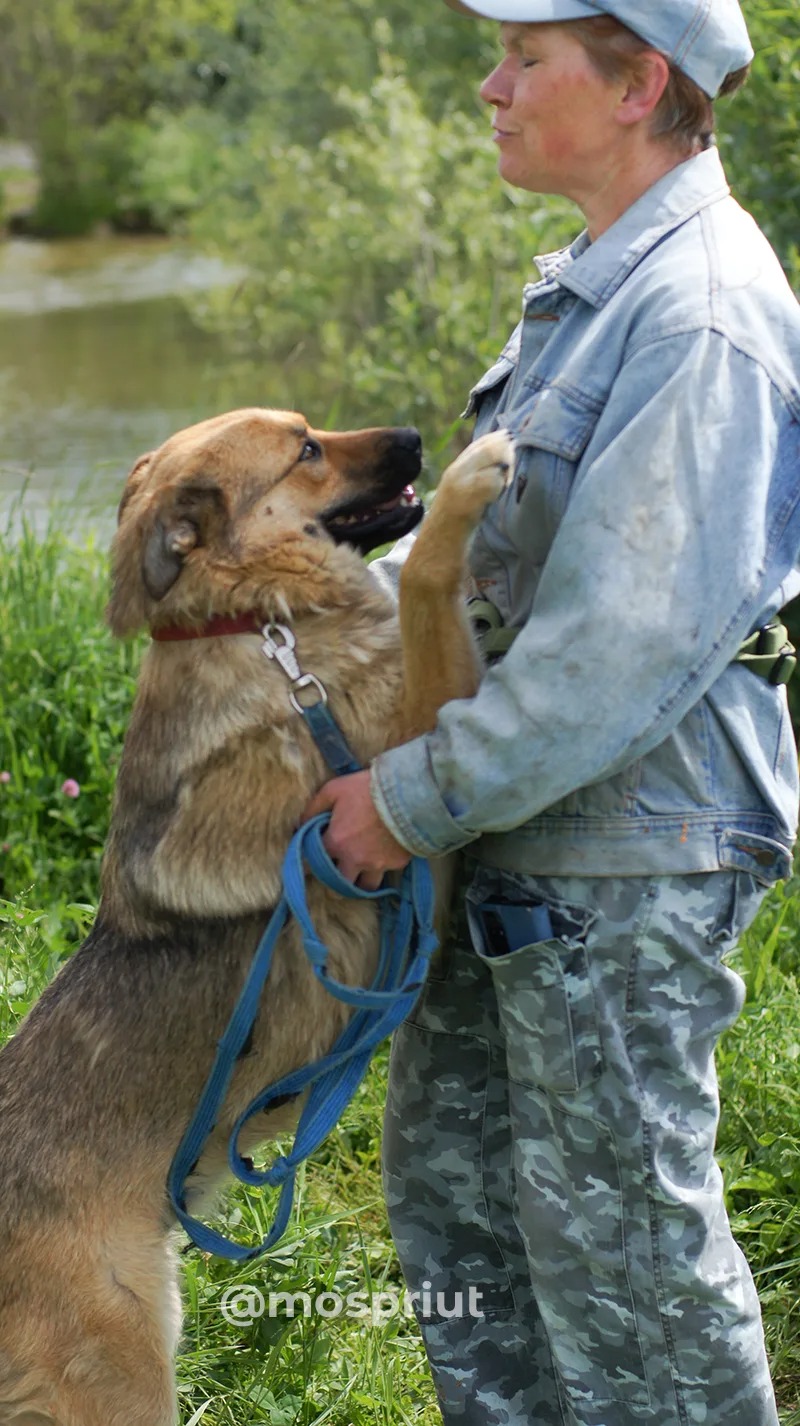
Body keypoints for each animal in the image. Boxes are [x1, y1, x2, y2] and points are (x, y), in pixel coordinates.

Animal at [0, 407, 510, 1420]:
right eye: (306, 448)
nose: (415, 431)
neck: (257, 622)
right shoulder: (422, 749)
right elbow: (425, 576)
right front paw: (474, 477)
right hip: (125, 1372)